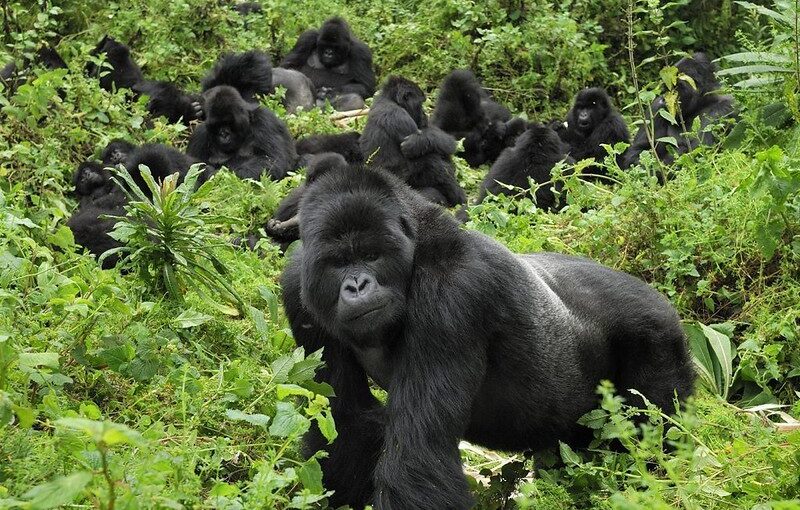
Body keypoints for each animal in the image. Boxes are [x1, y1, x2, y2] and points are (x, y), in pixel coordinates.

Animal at [280, 165, 692, 508]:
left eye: (371, 255)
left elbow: (416, 461)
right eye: (338, 263)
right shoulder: (299, 288)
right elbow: (344, 426)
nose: (357, 285)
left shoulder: (452, 292)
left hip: (659, 339)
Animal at [360, 76, 466, 207]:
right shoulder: (398, 116)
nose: (425, 115)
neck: (389, 99)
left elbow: (441, 140)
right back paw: (458, 197)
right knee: (434, 162)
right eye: (420, 103)